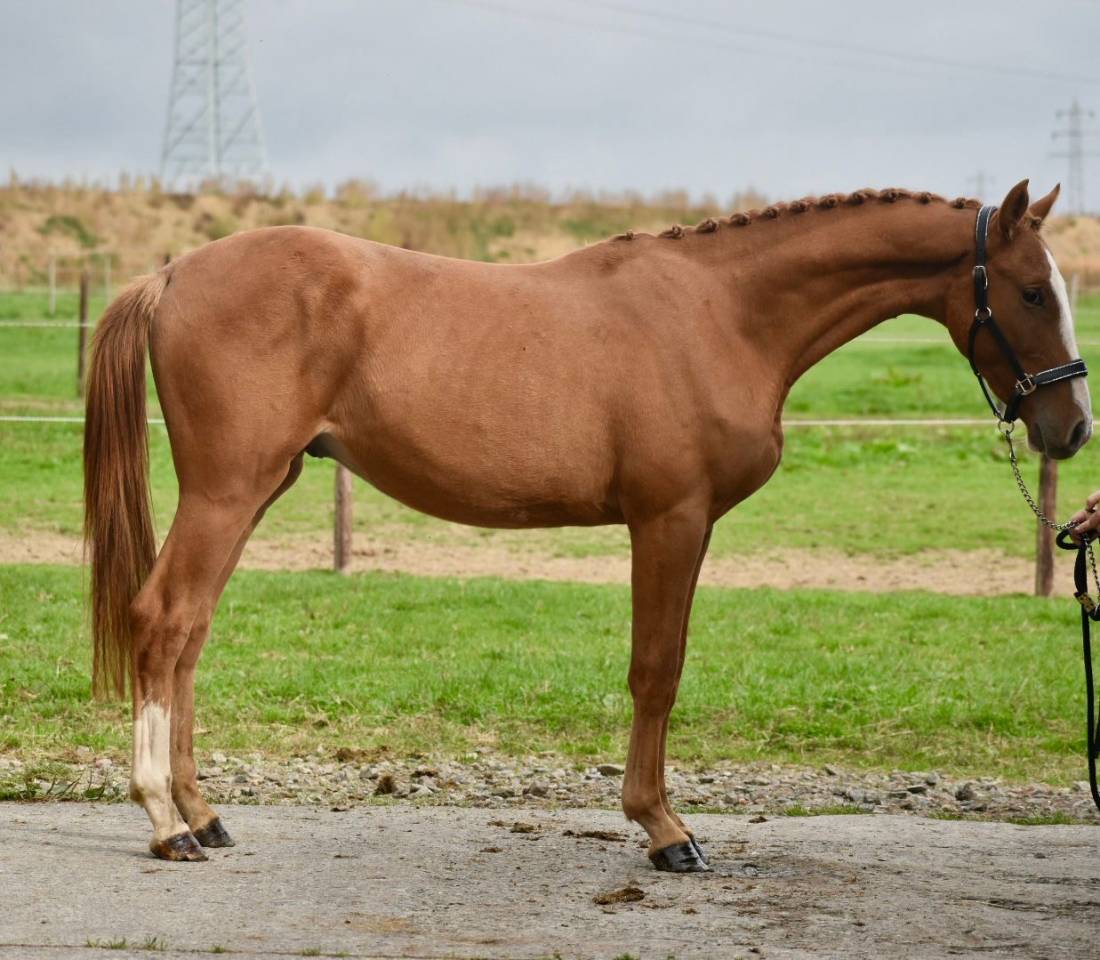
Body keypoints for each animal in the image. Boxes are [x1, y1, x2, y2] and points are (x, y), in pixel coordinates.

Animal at [83, 179, 1091, 870]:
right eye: (1032, 292)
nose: (1072, 426)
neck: (722, 315)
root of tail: (171, 273)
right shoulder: (668, 520)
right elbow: (656, 671)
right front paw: (664, 830)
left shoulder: (690, 527)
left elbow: (662, 667)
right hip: (228, 490)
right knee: (164, 620)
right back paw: (167, 822)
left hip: (255, 490)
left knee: (191, 633)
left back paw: (203, 814)